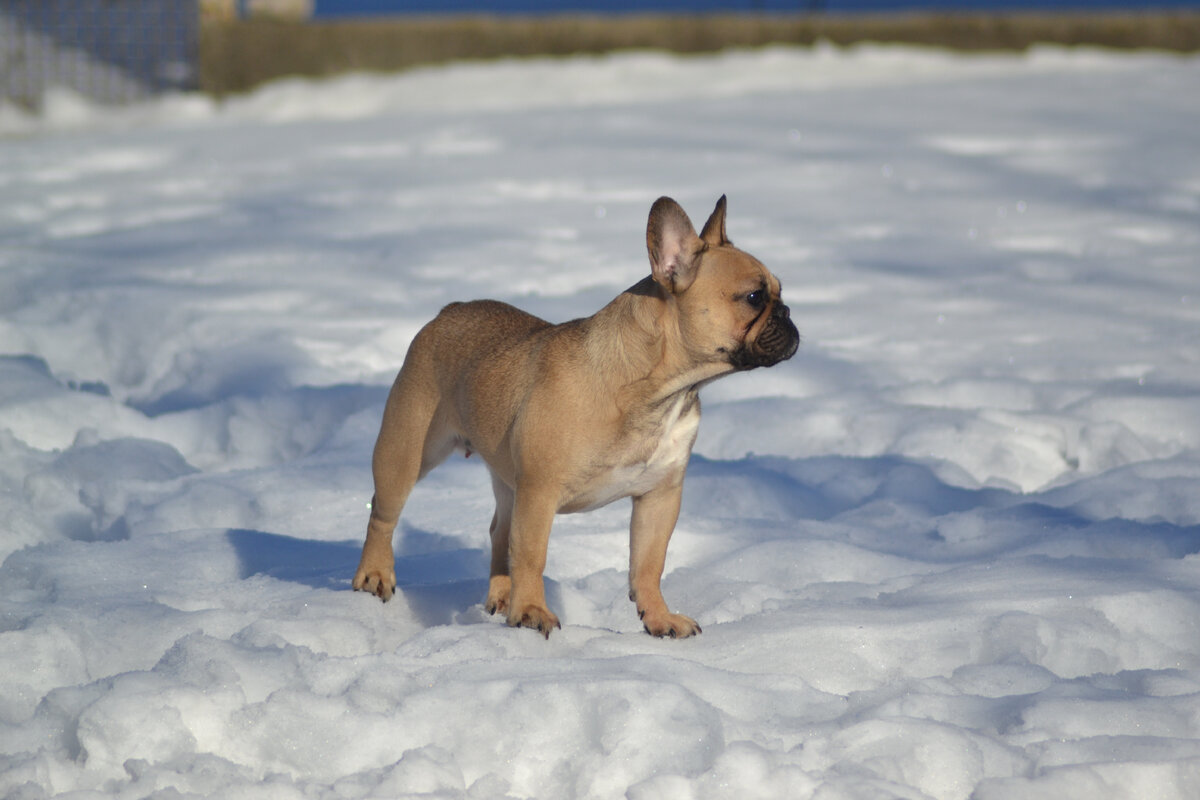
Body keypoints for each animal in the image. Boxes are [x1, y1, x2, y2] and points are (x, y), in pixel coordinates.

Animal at [350, 196, 801, 642]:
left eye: (778, 294)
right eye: (754, 297)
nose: (789, 315)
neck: (658, 391)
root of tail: (448, 311)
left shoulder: (659, 496)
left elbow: (649, 564)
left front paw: (659, 618)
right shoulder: (540, 491)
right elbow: (533, 554)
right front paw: (532, 612)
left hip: (507, 479)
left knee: (500, 533)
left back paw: (502, 596)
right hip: (407, 449)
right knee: (384, 515)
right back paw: (375, 577)